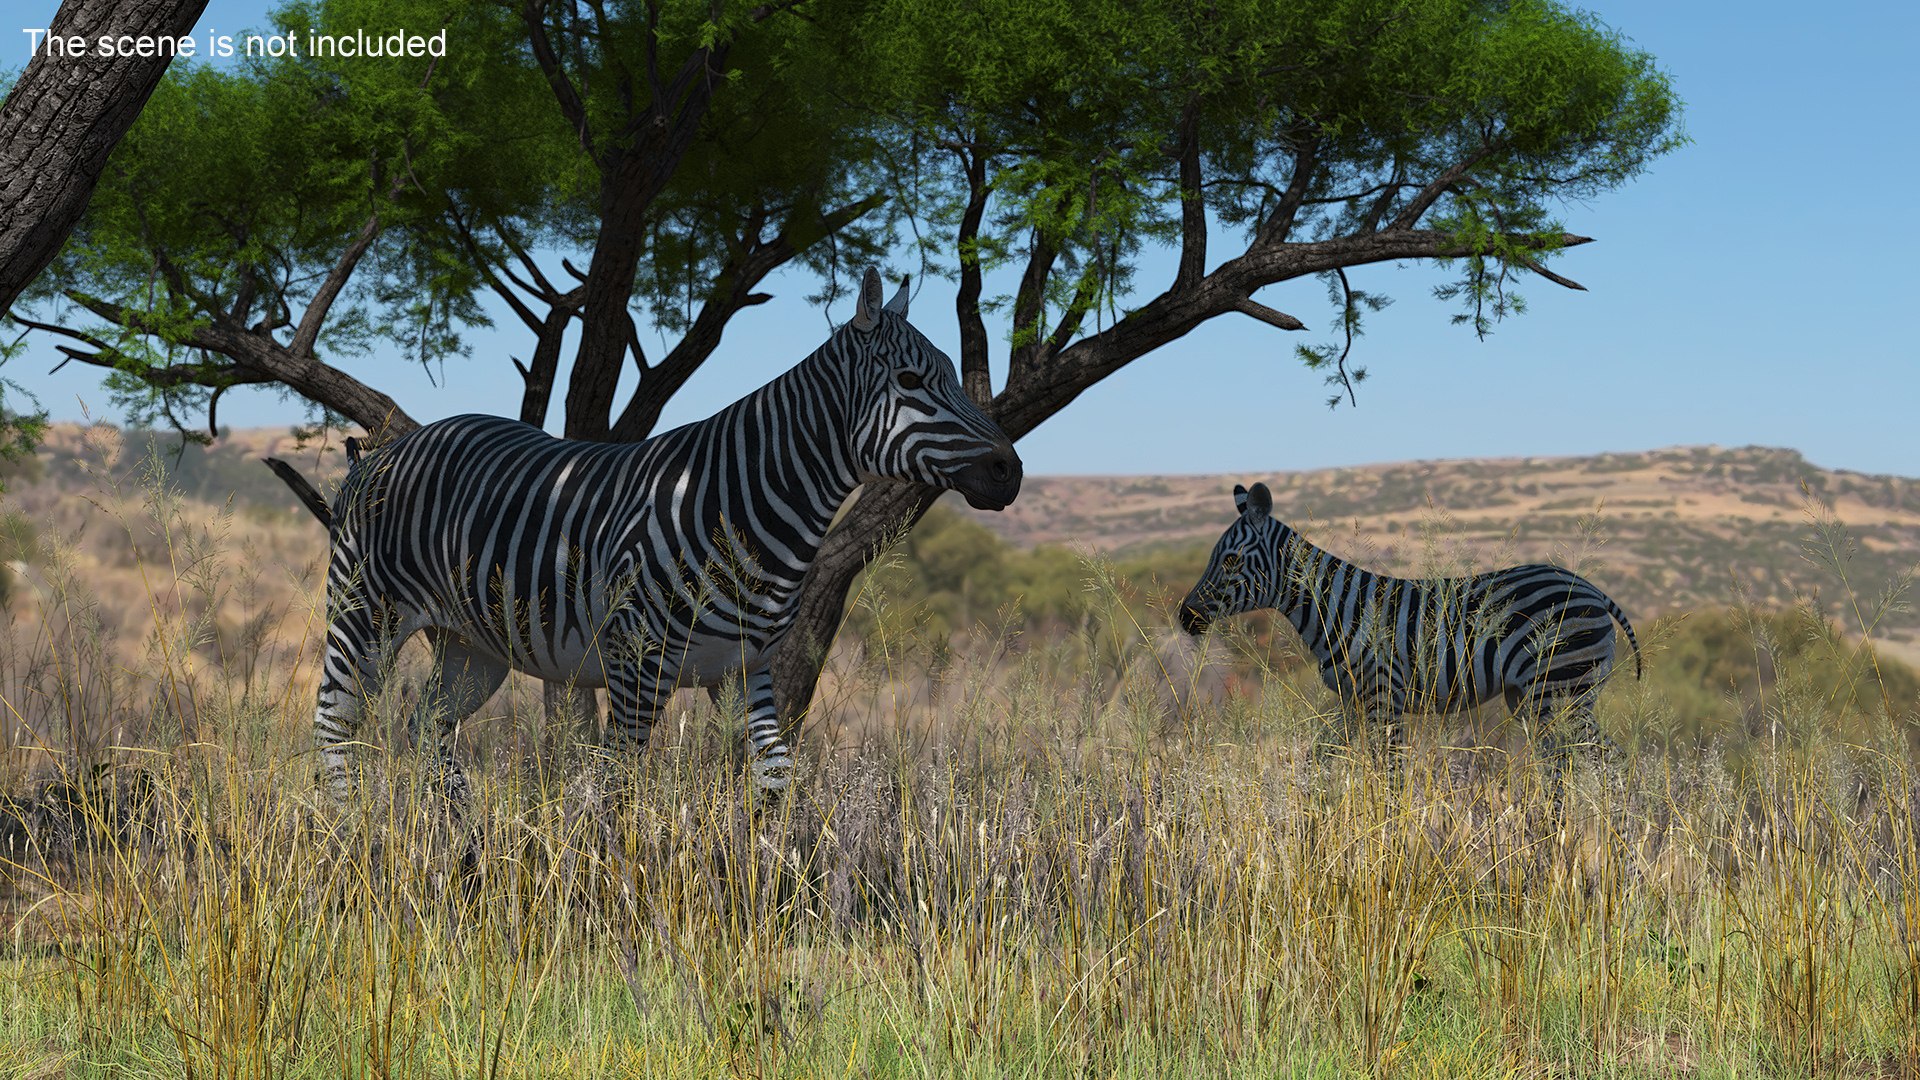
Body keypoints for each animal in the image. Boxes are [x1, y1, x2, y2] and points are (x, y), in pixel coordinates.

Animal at [315, 268, 1022, 798]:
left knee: (426, 727)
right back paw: (347, 844)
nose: (1009, 472)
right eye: (911, 381)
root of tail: (384, 451)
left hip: (472, 646)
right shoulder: (637, 664)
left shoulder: (745, 671)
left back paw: (459, 842)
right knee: (333, 729)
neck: (744, 505)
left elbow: (776, 785)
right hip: (364, 616)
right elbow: (621, 793)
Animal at [1178, 482, 1640, 764]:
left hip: (1562, 690)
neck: (1337, 607)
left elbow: (1390, 777)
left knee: (1607, 765)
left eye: (1230, 560)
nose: (1185, 616)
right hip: (1534, 699)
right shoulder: (1351, 702)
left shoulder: (1384, 695)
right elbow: (1325, 762)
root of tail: (1592, 590)